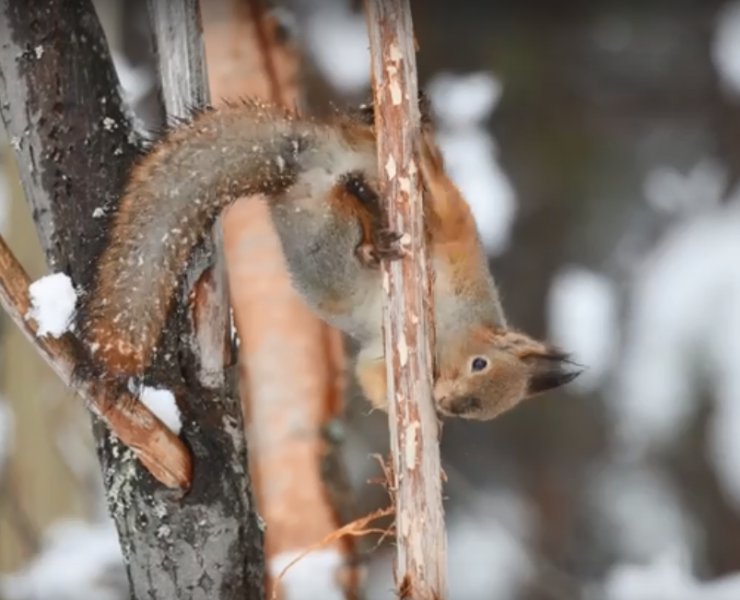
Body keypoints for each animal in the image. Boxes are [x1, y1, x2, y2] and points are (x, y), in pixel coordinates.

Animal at [77, 96, 581, 422]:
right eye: (480, 365)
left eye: (472, 411)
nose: (446, 404)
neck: (454, 327)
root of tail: (302, 160)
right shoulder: (458, 248)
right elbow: (447, 205)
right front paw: (427, 158)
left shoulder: (380, 351)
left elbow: (370, 374)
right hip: (331, 219)